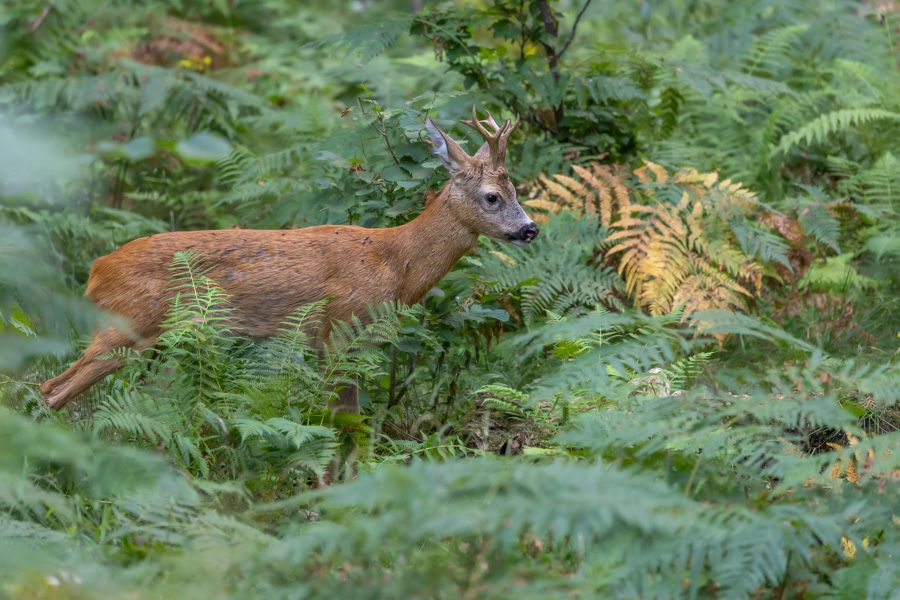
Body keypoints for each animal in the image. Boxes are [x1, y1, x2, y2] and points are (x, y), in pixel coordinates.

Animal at [42, 106, 536, 412]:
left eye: (517, 190)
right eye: (492, 197)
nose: (530, 229)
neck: (396, 262)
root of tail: (96, 270)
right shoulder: (341, 327)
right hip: (125, 325)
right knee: (51, 389)